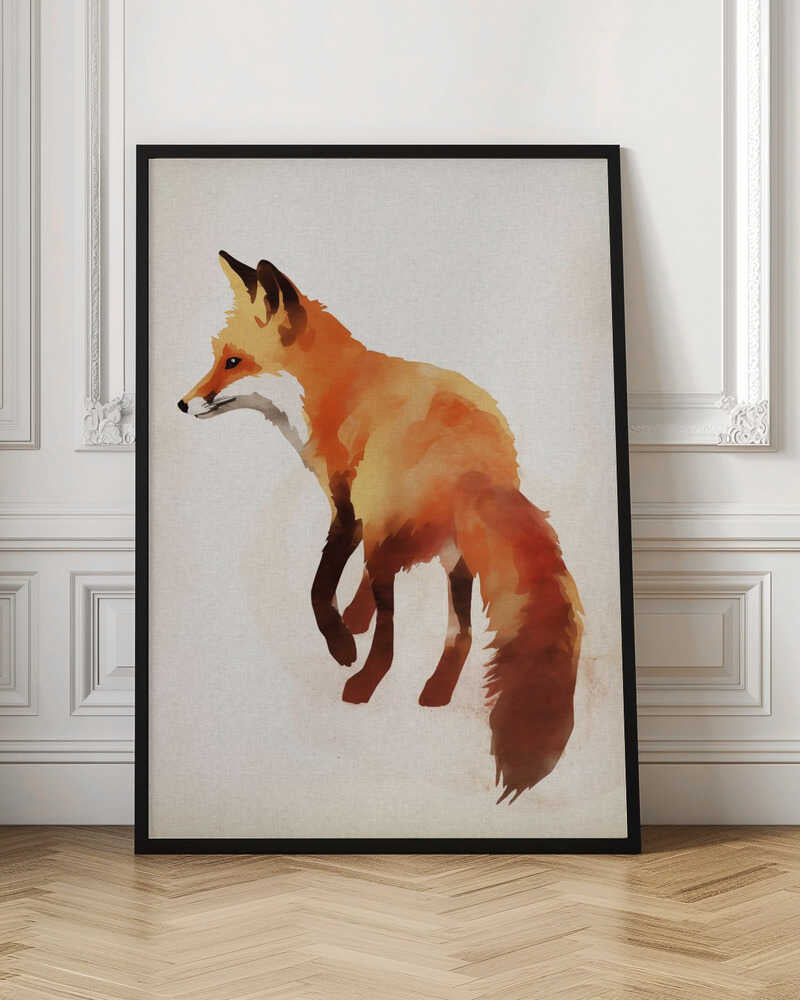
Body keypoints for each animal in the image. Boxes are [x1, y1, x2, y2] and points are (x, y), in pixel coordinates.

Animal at [178, 251, 584, 802]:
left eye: (235, 362)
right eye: (217, 356)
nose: (183, 403)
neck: (335, 390)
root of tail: (478, 466)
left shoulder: (348, 507)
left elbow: (319, 587)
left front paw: (342, 642)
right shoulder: (371, 522)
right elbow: (355, 589)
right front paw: (353, 619)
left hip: (397, 535)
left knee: (392, 639)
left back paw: (362, 684)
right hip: (454, 557)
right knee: (461, 634)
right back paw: (435, 691)